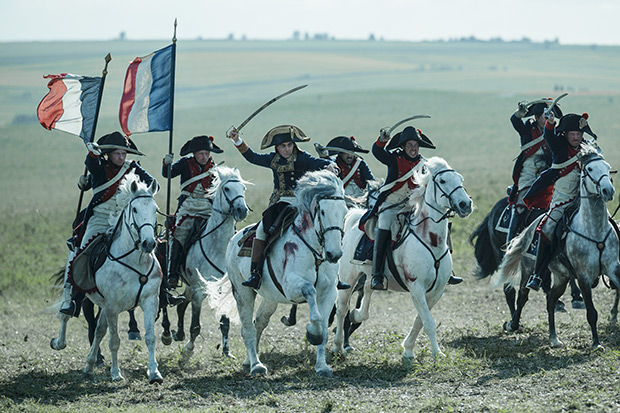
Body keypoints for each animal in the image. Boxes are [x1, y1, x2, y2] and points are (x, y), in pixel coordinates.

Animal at [51, 172, 162, 382]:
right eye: (134, 209)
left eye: (155, 209)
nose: (149, 243)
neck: (133, 261)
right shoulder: (112, 307)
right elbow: (114, 340)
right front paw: (116, 373)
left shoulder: (149, 301)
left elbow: (150, 337)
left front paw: (154, 373)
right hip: (78, 293)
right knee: (66, 315)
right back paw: (59, 342)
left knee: (98, 330)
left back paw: (89, 364)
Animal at [163, 166, 251, 356]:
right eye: (227, 188)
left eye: (243, 188)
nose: (242, 210)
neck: (217, 246)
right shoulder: (199, 290)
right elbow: (195, 325)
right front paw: (189, 349)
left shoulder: (221, 288)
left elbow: (224, 322)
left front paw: (226, 351)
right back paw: (167, 334)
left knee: (181, 304)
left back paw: (178, 334)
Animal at [208, 168, 346, 376]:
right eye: (322, 211)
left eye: (344, 211)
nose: (334, 254)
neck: (313, 250)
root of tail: (234, 240)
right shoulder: (291, 287)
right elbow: (310, 293)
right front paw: (312, 333)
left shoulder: (329, 293)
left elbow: (323, 326)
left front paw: (322, 366)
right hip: (242, 293)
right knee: (247, 329)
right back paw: (256, 365)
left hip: (270, 297)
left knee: (258, 323)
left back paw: (248, 361)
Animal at [336, 158, 472, 360]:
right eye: (443, 181)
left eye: (460, 179)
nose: (465, 204)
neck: (430, 240)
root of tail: (353, 220)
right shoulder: (416, 287)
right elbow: (428, 322)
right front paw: (437, 354)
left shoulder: (437, 291)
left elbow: (420, 321)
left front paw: (408, 350)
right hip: (348, 278)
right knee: (341, 308)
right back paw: (338, 345)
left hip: (368, 276)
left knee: (367, 289)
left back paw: (357, 315)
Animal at [498, 147, 620, 348]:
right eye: (590, 169)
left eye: (607, 167)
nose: (608, 190)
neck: (594, 230)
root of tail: (530, 228)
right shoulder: (584, 277)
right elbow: (591, 312)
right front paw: (596, 343)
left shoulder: (613, 269)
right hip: (528, 270)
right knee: (523, 295)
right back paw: (513, 324)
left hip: (562, 277)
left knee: (551, 300)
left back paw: (554, 337)